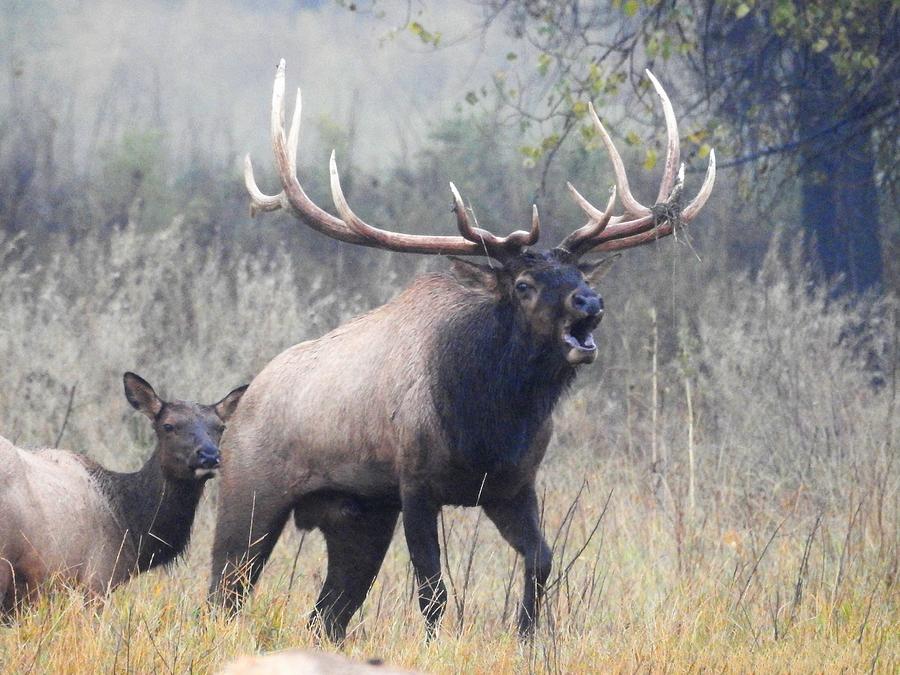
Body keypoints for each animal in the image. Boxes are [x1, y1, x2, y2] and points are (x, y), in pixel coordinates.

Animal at [207, 56, 712, 640]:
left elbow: (541, 562)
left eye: (578, 275)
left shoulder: (511, 486)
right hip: (249, 492)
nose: (591, 302)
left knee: (326, 614)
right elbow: (434, 591)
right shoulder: (416, 484)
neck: (487, 422)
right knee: (223, 591)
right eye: (524, 285)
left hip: (358, 514)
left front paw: (527, 637)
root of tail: (237, 405)